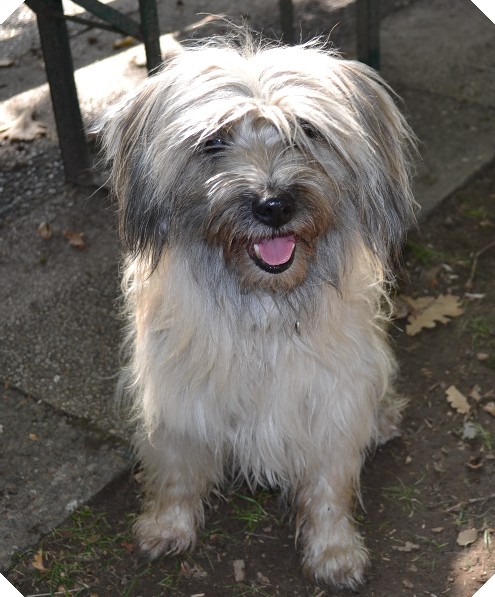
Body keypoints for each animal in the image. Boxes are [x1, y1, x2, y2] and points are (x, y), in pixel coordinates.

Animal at [100, 36, 416, 589]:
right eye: (213, 142)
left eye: (307, 131)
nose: (273, 205)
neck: (264, 305)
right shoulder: (178, 396)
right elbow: (176, 469)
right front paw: (167, 525)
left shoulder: (331, 399)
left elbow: (328, 484)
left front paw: (334, 551)